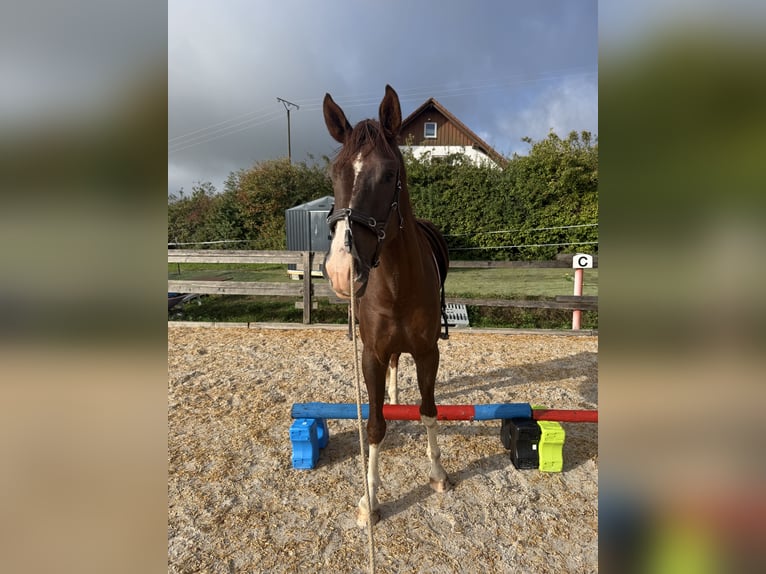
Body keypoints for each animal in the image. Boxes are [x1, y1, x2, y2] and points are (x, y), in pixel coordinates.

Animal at [322, 85, 451, 527]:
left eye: (390, 174)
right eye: (334, 173)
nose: (341, 270)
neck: (396, 283)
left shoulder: (429, 353)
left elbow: (429, 411)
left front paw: (437, 473)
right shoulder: (372, 355)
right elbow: (375, 426)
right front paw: (370, 500)